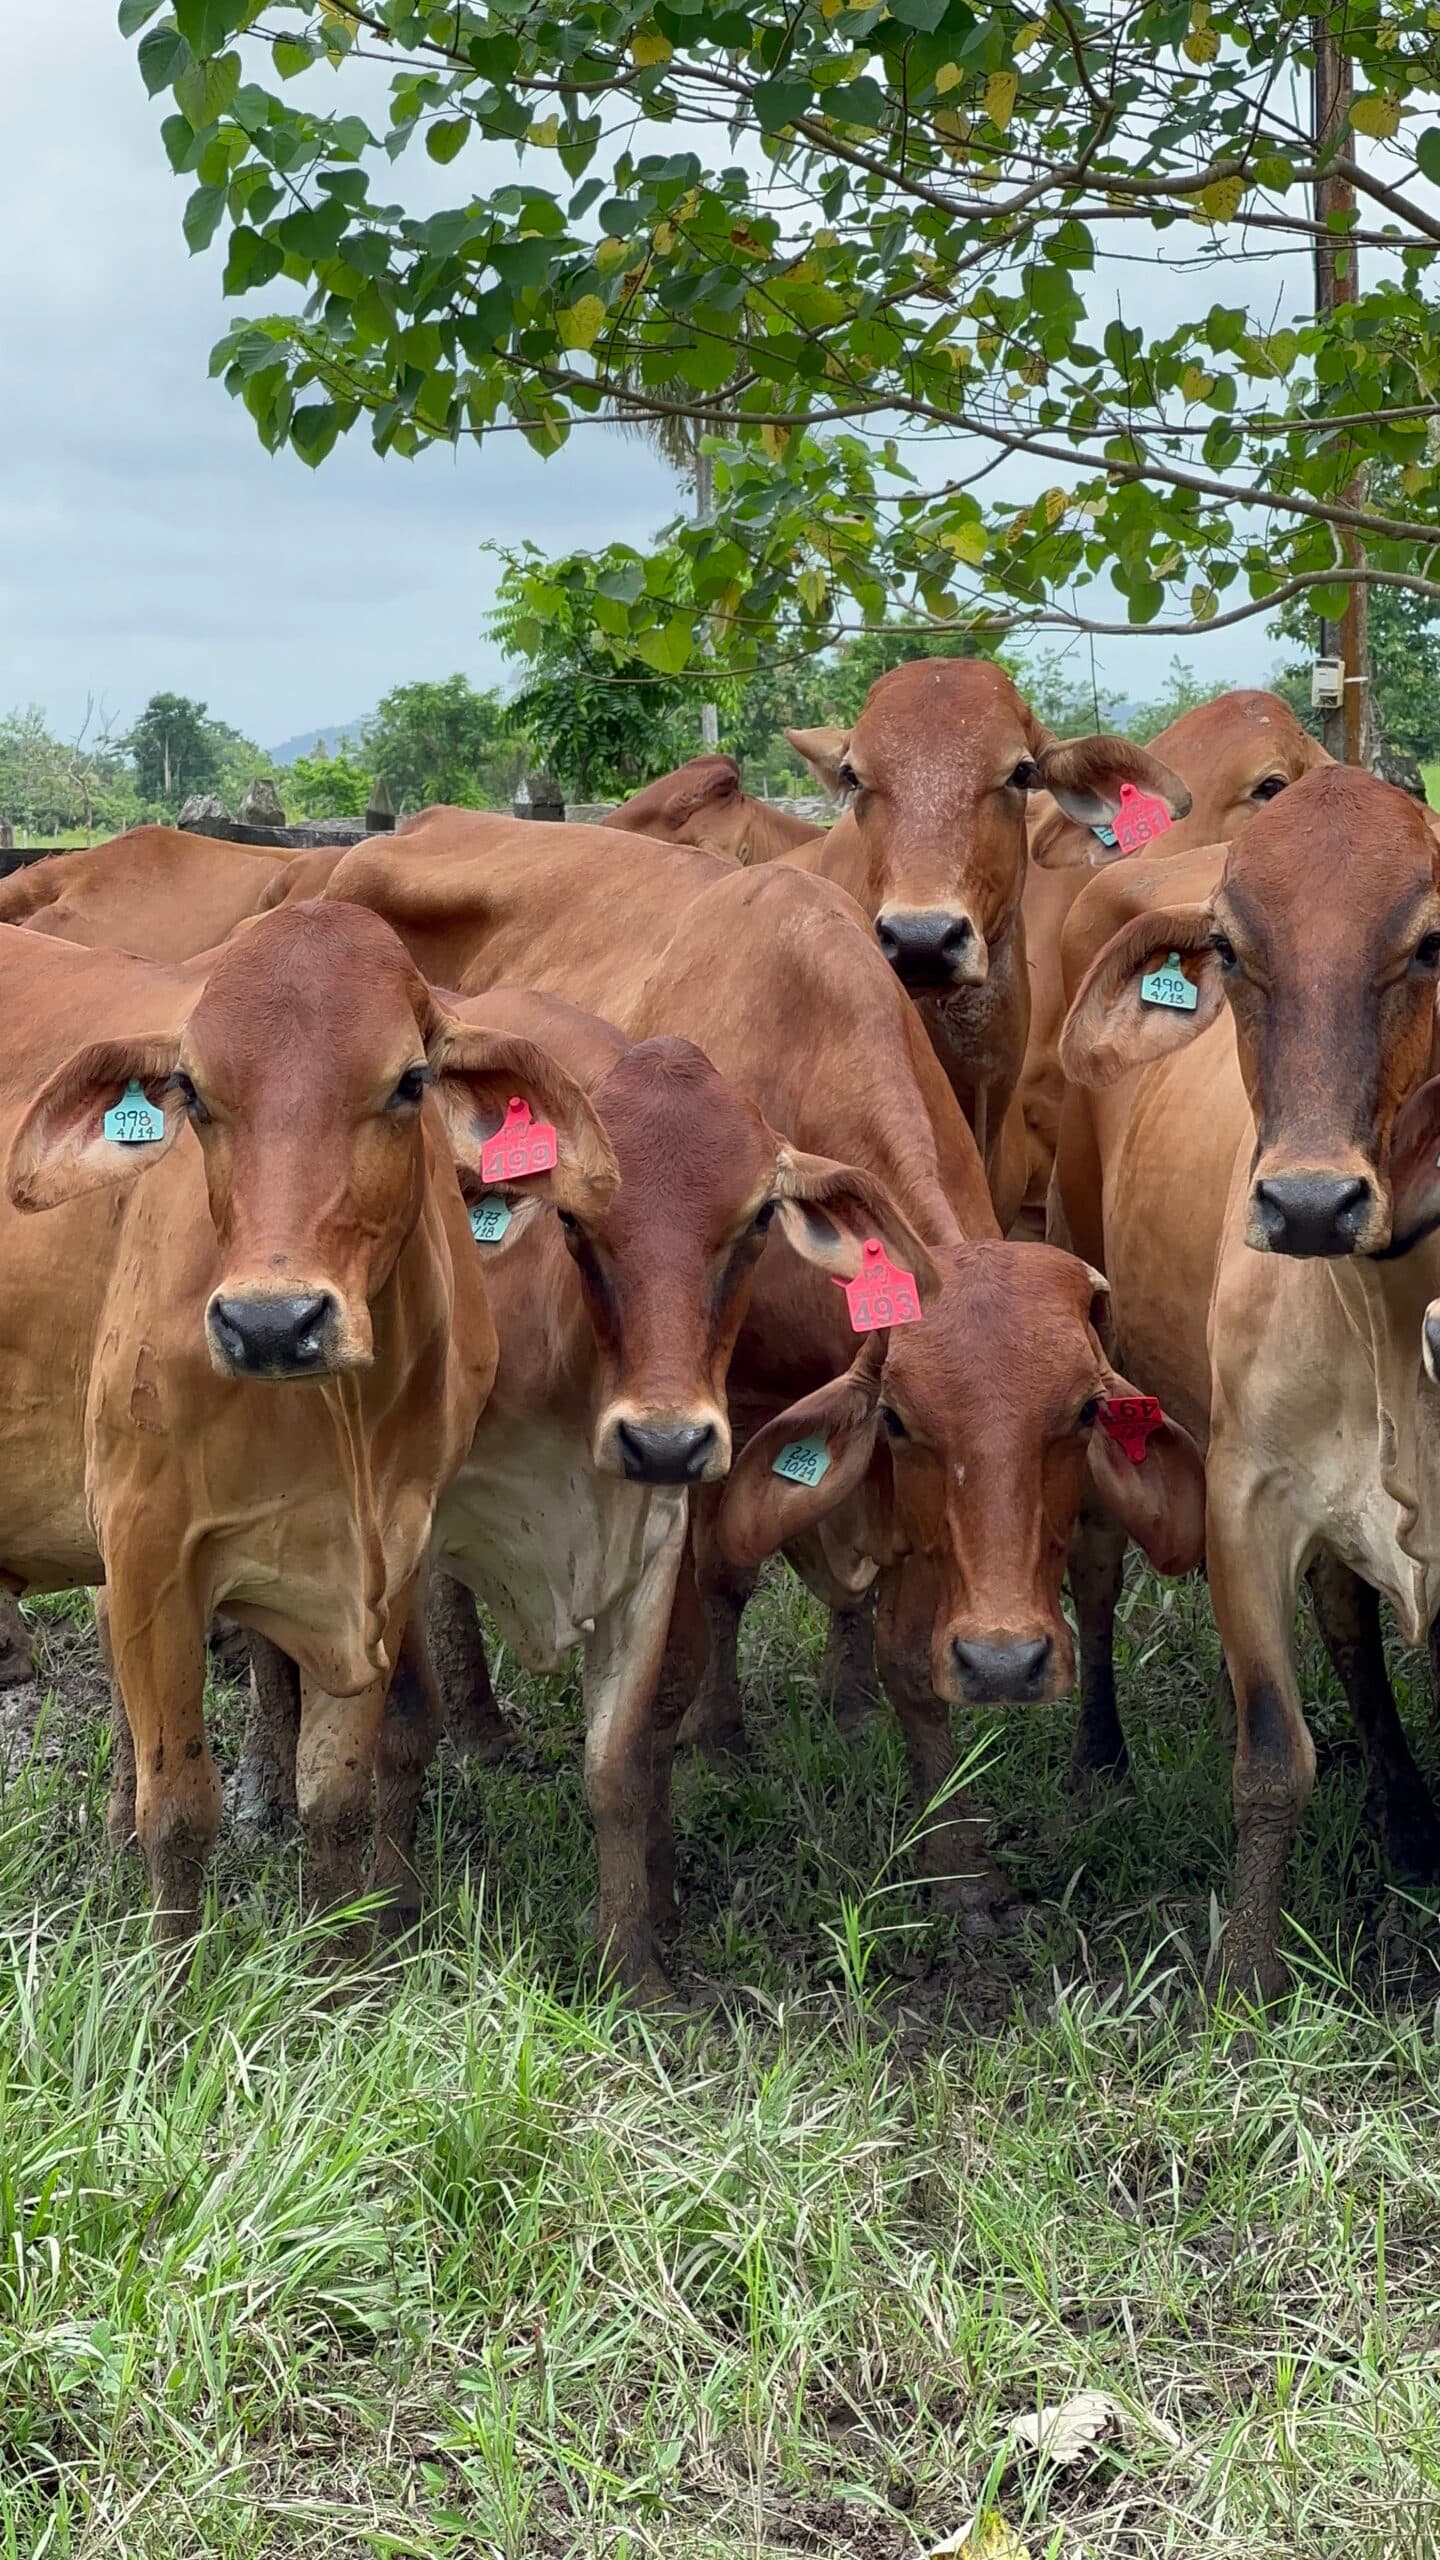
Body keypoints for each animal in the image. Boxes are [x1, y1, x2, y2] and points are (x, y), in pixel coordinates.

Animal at [0, 905, 614, 1939]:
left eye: (409, 1082)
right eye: (190, 1093)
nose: (271, 1324)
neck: (340, 1426)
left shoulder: (391, 1555)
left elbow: (336, 1792)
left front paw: (337, 1960)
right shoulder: (147, 1549)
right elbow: (181, 1815)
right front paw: (172, 1971)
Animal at [1056, 764, 1440, 1998]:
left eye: (1430, 942)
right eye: (1230, 948)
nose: (1309, 1202)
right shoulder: (1245, 1495)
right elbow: (1273, 1754)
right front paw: (1245, 1983)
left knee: (1348, 1622)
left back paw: (1406, 1819)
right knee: (1094, 1562)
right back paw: (1099, 1760)